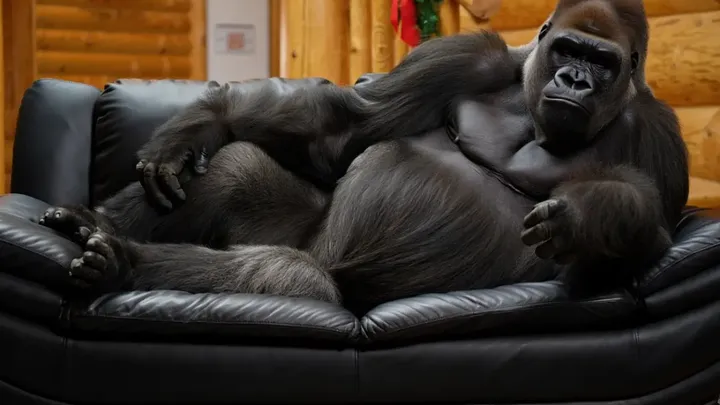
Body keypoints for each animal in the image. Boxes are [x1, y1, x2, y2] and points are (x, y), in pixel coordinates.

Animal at [40, 0, 688, 315]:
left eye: (600, 61)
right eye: (568, 49)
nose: (574, 79)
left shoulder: (657, 132)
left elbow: (651, 235)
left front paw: (584, 217)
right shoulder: (466, 56)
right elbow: (346, 128)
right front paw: (202, 123)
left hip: (322, 265)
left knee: (294, 277)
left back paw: (121, 261)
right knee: (236, 172)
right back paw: (96, 226)